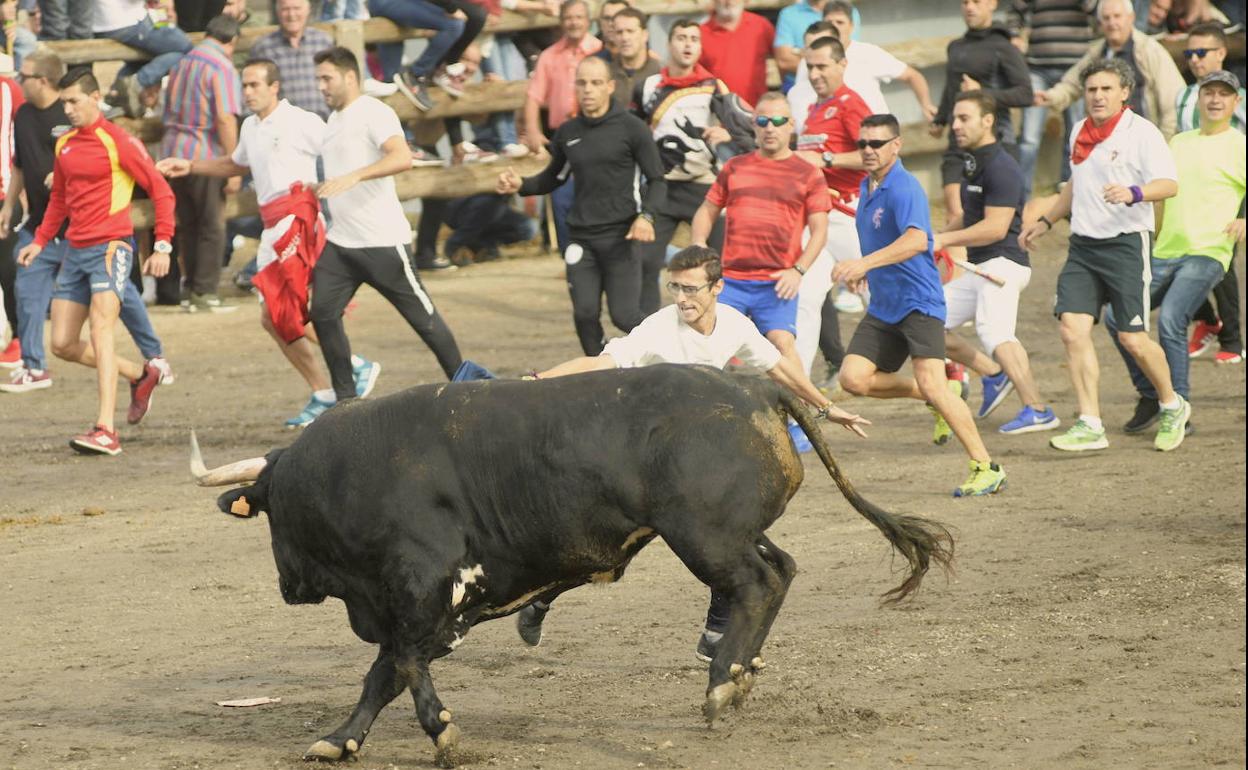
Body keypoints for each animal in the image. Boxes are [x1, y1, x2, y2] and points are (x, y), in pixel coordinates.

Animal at [189, 364, 948, 763]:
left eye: (268, 510)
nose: (287, 585)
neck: (351, 470)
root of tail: (755, 386)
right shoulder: (426, 602)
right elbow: (384, 673)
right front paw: (340, 739)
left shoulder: (425, 587)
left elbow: (400, 661)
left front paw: (442, 733)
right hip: (732, 534)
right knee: (781, 571)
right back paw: (739, 677)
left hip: (704, 537)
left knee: (757, 585)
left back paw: (720, 685)